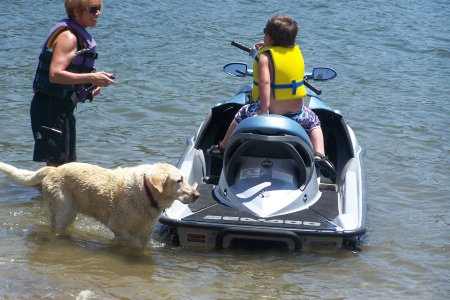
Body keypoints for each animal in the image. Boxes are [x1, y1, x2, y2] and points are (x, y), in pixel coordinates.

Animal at [0, 162, 200, 246]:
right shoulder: (118, 226)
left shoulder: (146, 233)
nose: (197, 195)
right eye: (179, 180)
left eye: (186, 178)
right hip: (63, 212)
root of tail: (53, 169)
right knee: (55, 230)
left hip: (70, 212)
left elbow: (141, 246)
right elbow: (131, 243)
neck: (147, 194)